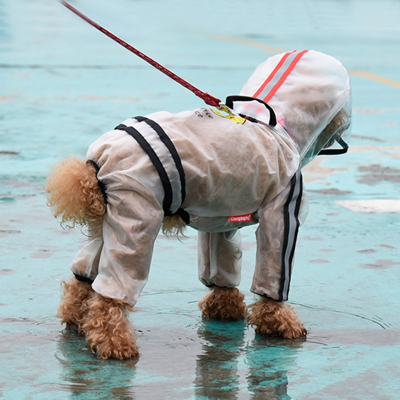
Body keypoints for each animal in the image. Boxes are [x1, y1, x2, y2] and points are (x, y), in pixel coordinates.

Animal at [47, 49, 352, 360]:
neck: (272, 123)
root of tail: (94, 165)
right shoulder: (281, 210)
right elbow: (272, 273)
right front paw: (279, 321)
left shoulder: (220, 218)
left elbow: (220, 263)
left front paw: (225, 307)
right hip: (136, 217)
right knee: (112, 292)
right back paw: (114, 342)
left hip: (108, 221)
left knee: (84, 275)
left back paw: (76, 318)